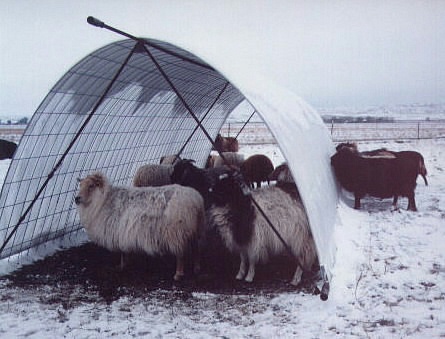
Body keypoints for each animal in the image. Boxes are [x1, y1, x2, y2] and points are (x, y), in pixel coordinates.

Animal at [75, 173, 206, 282]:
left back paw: (178, 274)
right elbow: (124, 251)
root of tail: (196, 200)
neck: (104, 201)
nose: (76, 199)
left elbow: (122, 252)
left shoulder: (119, 231)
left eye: (91, 186)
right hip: (196, 229)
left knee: (180, 254)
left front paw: (121, 266)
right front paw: (123, 265)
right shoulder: (122, 231)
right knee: (197, 249)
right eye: (80, 185)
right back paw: (197, 268)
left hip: (176, 232)